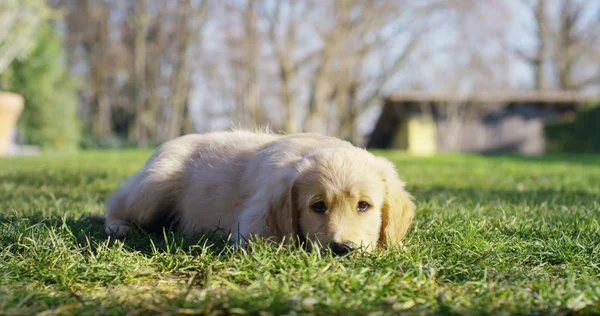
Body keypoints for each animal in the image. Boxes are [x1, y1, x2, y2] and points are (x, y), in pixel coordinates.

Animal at [105, 130, 414, 256]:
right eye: (318, 206)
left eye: (364, 205)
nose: (342, 249)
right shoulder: (253, 226)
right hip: (151, 189)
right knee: (114, 203)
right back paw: (118, 227)